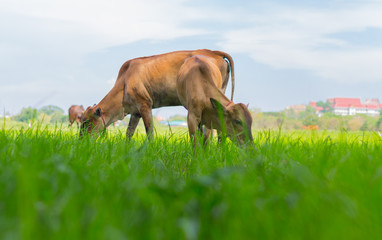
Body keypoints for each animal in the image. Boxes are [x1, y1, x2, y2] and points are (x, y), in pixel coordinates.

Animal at [80, 48, 234, 138]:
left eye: (86, 122)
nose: (81, 141)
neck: (124, 82)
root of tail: (213, 52)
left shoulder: (145, 104)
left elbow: (150, 132)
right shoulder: (135, 112)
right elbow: (129, 133)